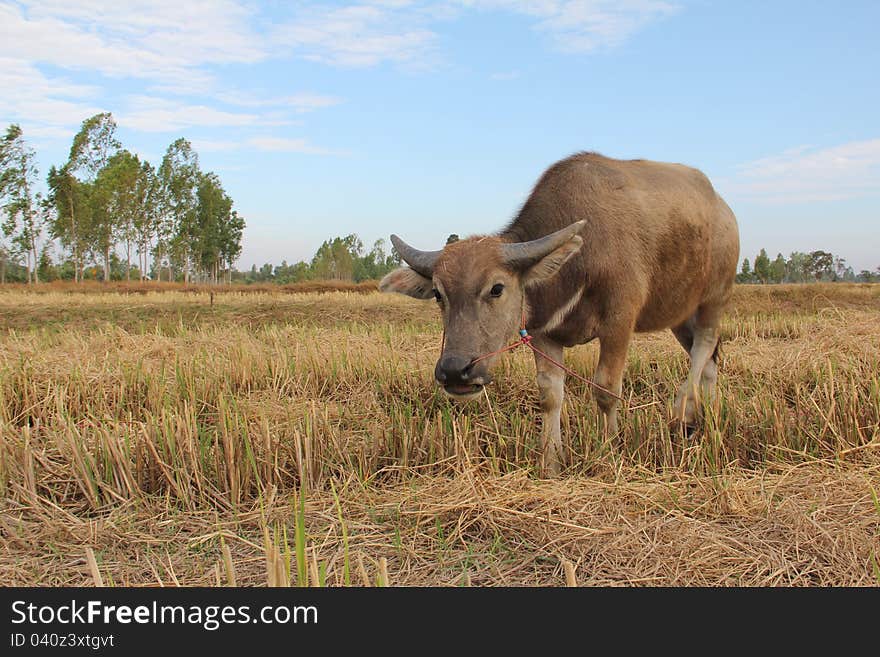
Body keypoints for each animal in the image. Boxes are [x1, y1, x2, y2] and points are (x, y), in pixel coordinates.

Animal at [382, 151, 740, 474]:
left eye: (496, 288)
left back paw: (683, 412)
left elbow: (606, 389)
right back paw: (707, 417)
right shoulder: (544, 334)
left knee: (704, 346)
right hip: (681, 314)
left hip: (714, 298)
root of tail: (725, 212)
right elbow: (549, 395)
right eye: (438, 294)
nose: (455, 371)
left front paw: (609, 450)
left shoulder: (619, 322)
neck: (580, 260)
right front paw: (551, 461)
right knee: (709, 360)